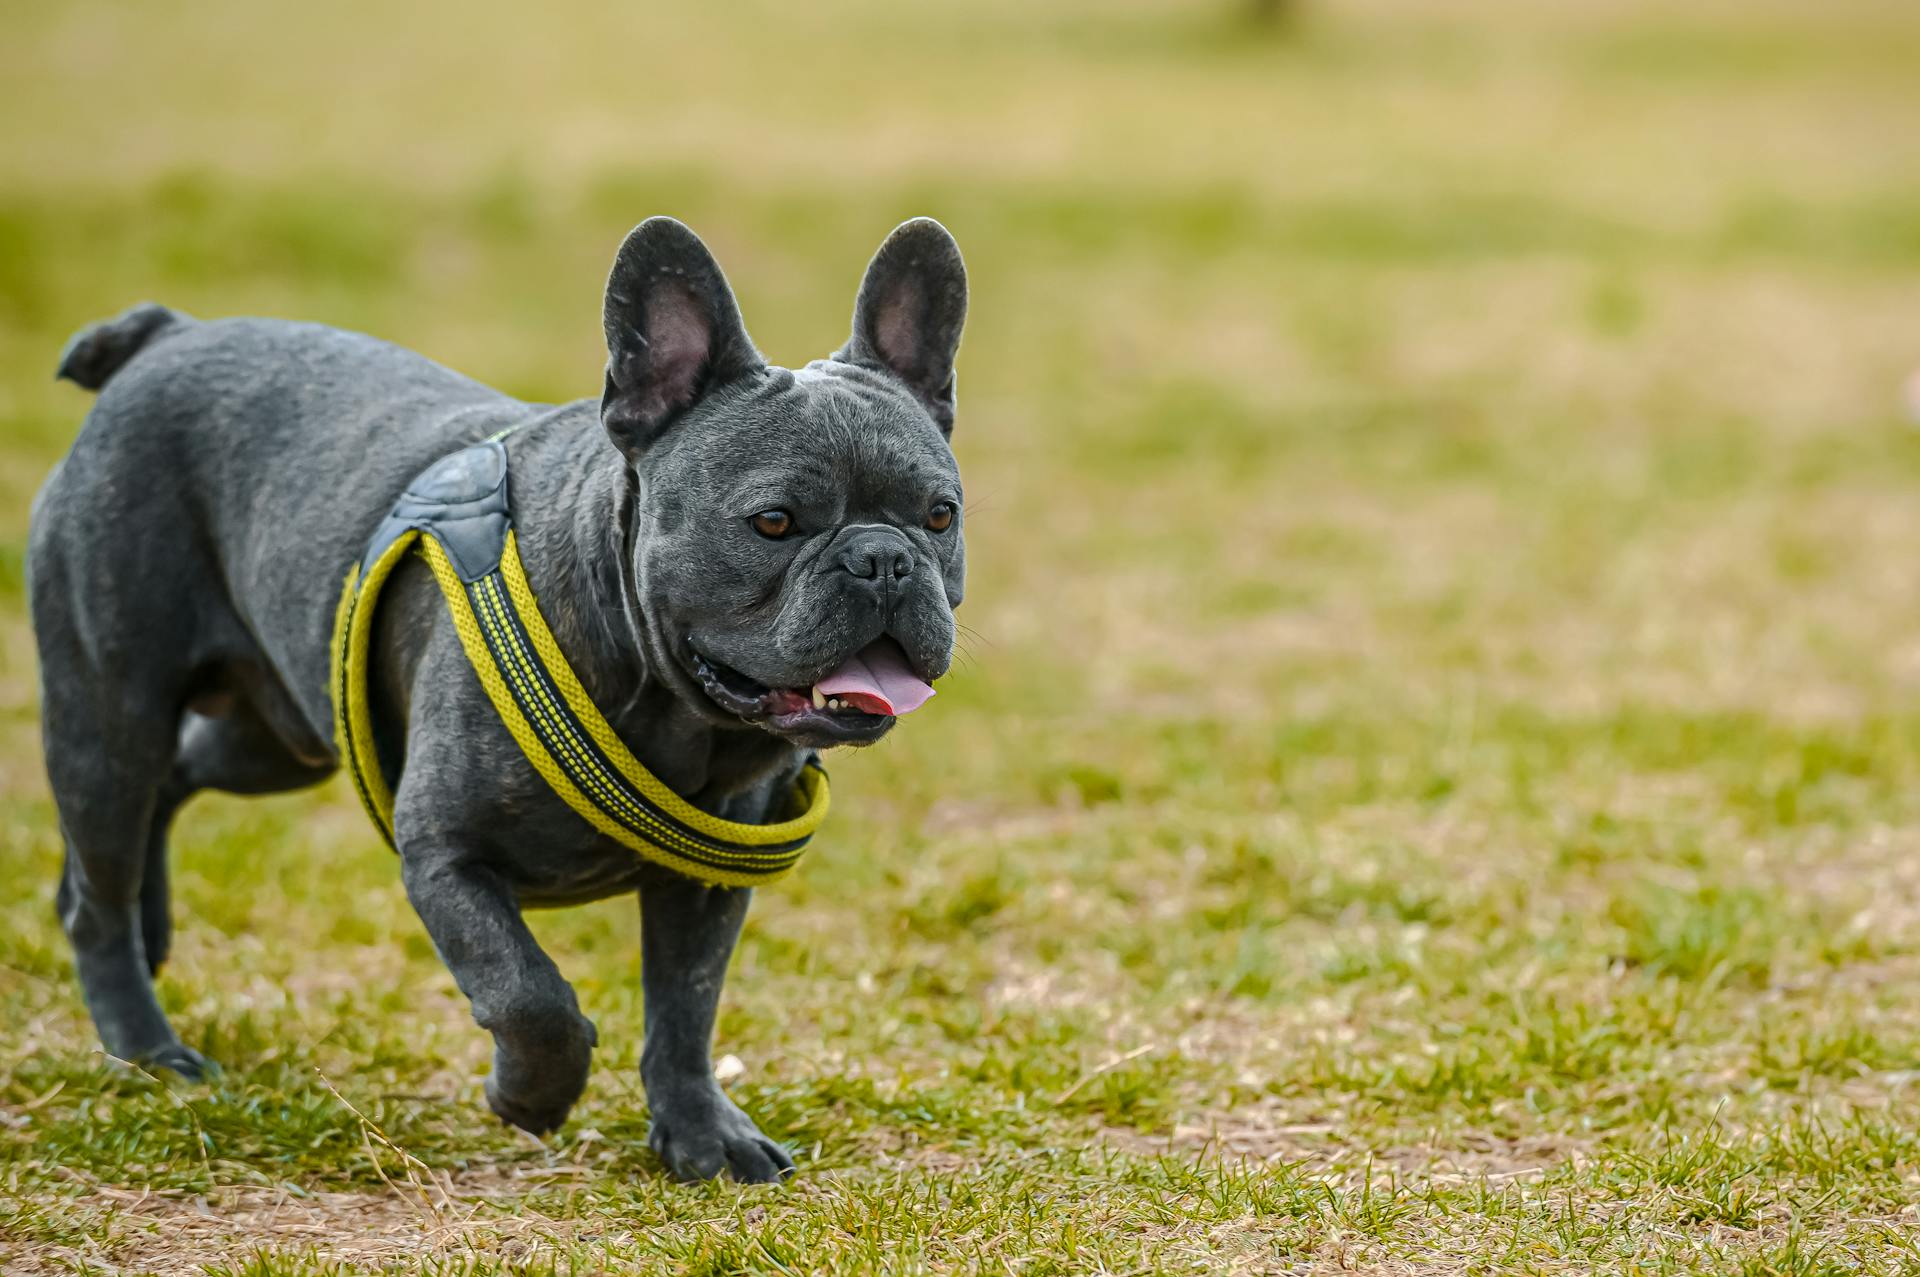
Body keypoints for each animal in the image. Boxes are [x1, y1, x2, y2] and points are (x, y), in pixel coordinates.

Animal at [24, 214, 967, 1182]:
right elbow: (528, 992)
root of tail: (165, 337)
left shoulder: (707, 883)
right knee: (101, 880)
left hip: (279, 736)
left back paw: (150, 930)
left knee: (172, 784)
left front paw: (704, 1136)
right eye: (773, 522)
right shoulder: (444, 853)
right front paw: (531, 1095)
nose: (883, 558)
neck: (673, 713)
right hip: (110, 714)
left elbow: (684, 1011)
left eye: (940, 516)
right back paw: (146, 1045)